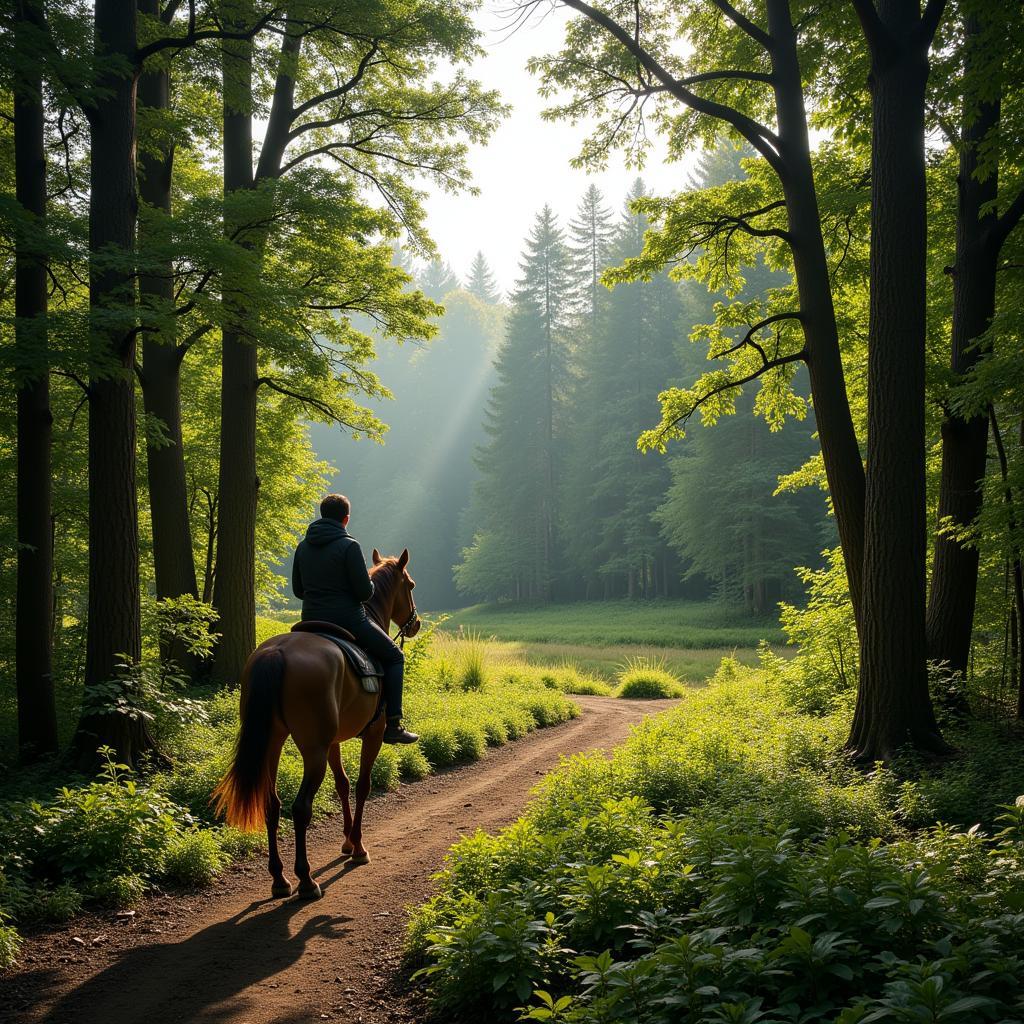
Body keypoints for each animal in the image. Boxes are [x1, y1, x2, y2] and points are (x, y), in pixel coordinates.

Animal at [211, 552, 419, 897]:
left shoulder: (334, 742)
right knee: (300, 808)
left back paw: (280, 879)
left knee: (272, 804)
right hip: (313, 751)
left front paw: (347, 842)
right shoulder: (373, 735)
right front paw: (358, 848)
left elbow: (343, 784)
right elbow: (362, 786)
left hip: (273, 744)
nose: (415, 623)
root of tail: (276, 652)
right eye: (411, 585)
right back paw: (306, 879)